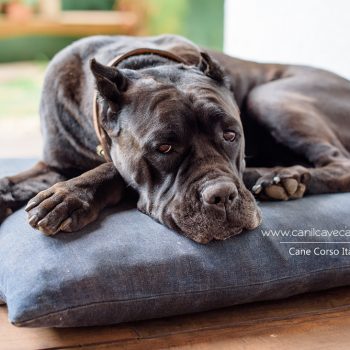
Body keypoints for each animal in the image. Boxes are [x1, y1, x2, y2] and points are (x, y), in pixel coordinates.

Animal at [0, 34, 350, 243]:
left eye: (231, 135)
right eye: (164, 147)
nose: (222, 195)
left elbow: (112, 170)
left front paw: (69, 196)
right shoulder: (54, 165)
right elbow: (18, 178)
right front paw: (9, 192)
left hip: (269, 96)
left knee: (340, 164)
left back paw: (282, 177)